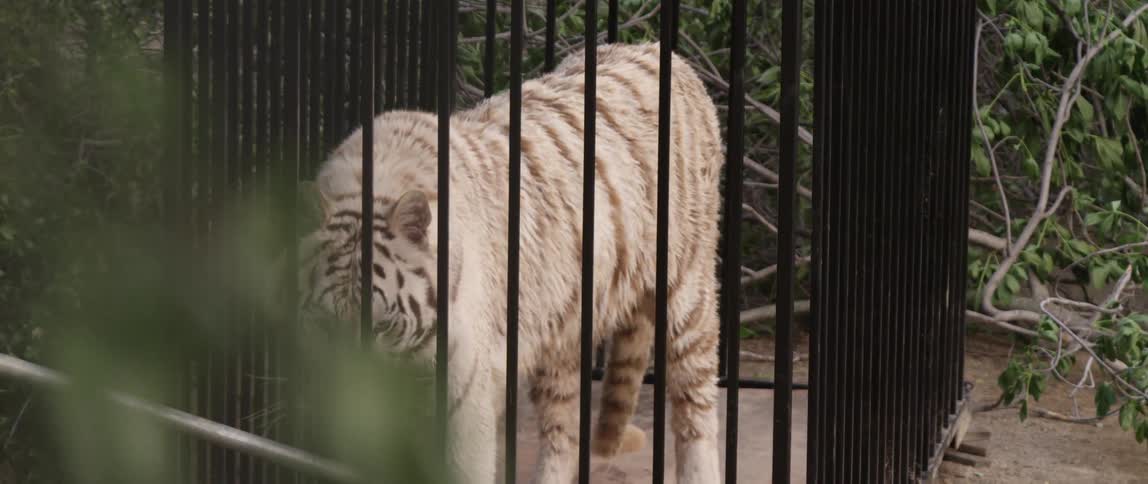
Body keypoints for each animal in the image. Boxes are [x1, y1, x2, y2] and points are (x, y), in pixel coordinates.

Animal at [298, 42, 725, 484]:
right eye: (325, 324)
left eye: (383, 326)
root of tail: (664, 53)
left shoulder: (465, 392)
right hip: (562, 328)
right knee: (563, 431)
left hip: (688, 295)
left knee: (697, 406)